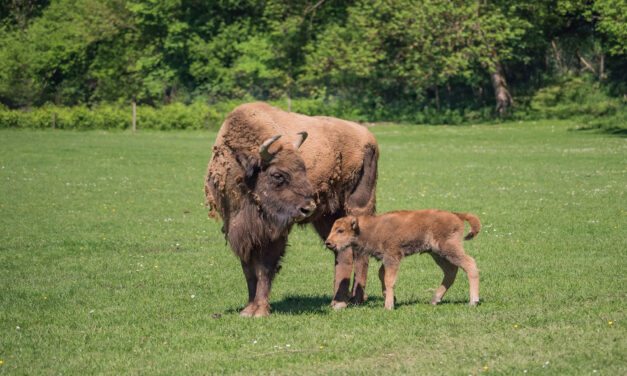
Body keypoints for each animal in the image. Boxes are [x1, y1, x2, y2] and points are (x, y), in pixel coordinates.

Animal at [207, 101, 378, 316]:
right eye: (277, 175)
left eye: (303, 168)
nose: (308, 207)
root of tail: (369, 138)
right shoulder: (239, 230)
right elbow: (249, 270)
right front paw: (248, 309)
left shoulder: (274, 233)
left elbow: (265, 267)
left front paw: (260, 310)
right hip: (327, 217)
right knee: (342, 251)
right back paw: (340, 301)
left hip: (358, 207)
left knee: (359, 251)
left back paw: (352, 299)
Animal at [326, 209, 484, 308]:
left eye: (341, 230)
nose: (328, 243)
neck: (370, 228)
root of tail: (456, 215)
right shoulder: (386, 259)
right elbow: (381, 275)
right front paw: (389, 297)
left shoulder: (392, 257)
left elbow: (389, 279)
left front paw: (388, 305)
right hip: (437, 254)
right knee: (450, 271)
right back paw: (435, 300)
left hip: (448, 249)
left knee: (470, 264)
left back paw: (473, 301)